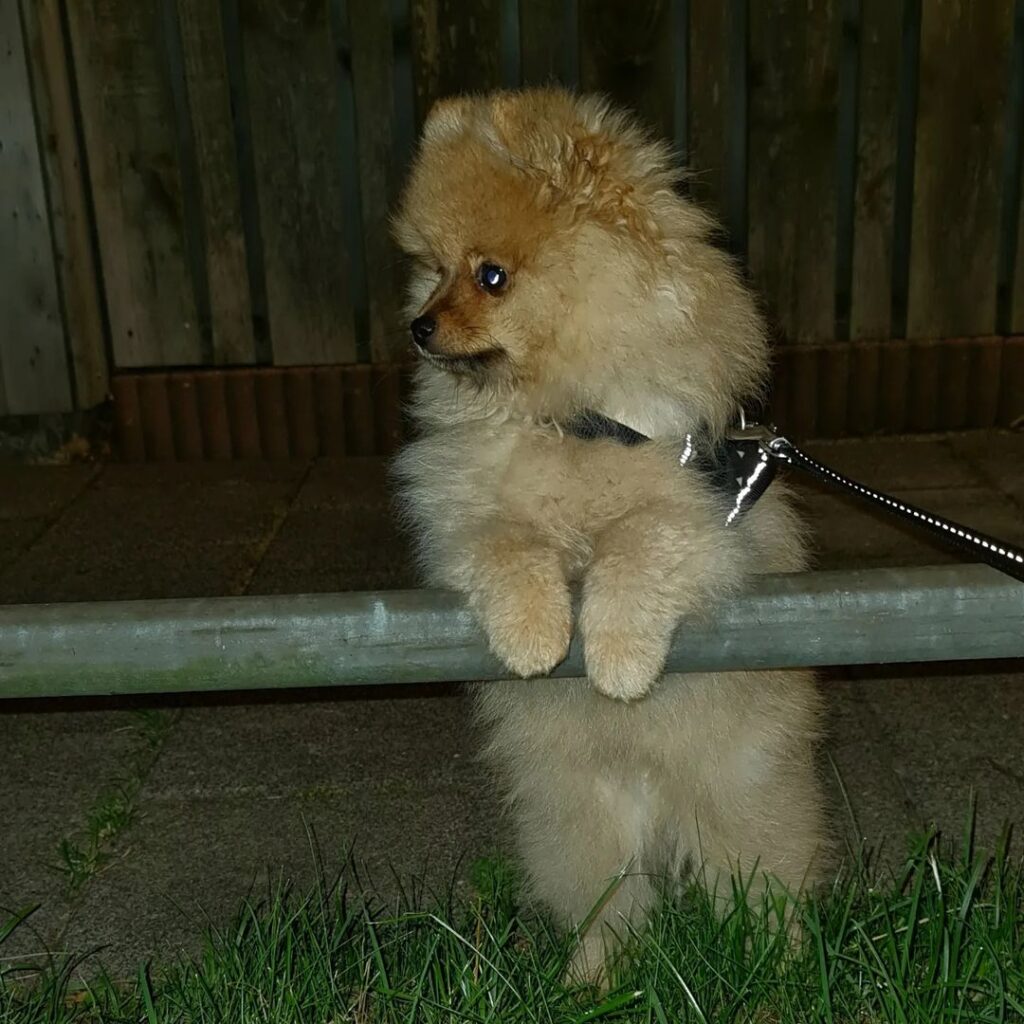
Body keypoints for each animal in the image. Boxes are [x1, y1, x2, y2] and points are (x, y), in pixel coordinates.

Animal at [392, 88, 826, 983]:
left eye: (491, 276)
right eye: (433, 267)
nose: (419, 325)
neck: (573, 419)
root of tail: (657, 803)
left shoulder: (708, 511)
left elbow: (637, 547)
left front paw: (619, 658)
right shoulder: (461, 513)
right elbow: (508, 545)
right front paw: (535, 634)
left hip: (747, 806)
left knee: (769, 890)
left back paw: (783, 969)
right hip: (578, 826)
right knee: (609, 909)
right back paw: (596, 981)